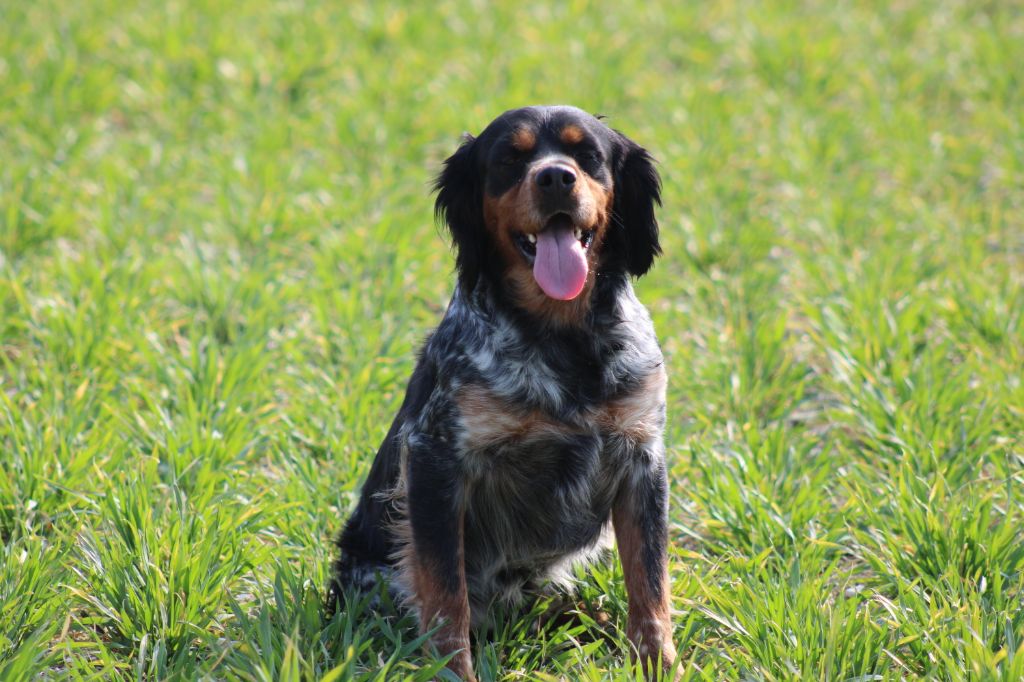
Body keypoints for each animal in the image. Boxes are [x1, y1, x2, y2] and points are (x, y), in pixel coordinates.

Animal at [331, 103, 675, 675]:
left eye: (588, 155)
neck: (563, 336)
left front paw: (660, 664)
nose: (555, 177)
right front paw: (452, 673)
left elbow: (650, 585)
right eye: (509, 160)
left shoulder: (641, 458)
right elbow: (445, 597)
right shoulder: (435, 460)